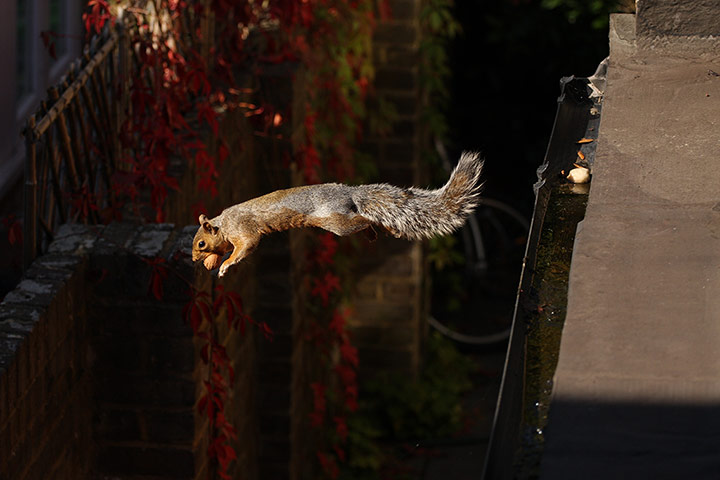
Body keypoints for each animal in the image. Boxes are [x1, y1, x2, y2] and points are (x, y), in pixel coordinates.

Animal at [192, 151, 483, 277]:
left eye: (201, 243)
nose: (194, 259)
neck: (223, 224)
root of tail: (349, 194)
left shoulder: (242, 229)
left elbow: (246, 246)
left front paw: (226, 264)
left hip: (336, 221)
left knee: (363, 219)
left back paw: (378, 226)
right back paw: (381, 230)